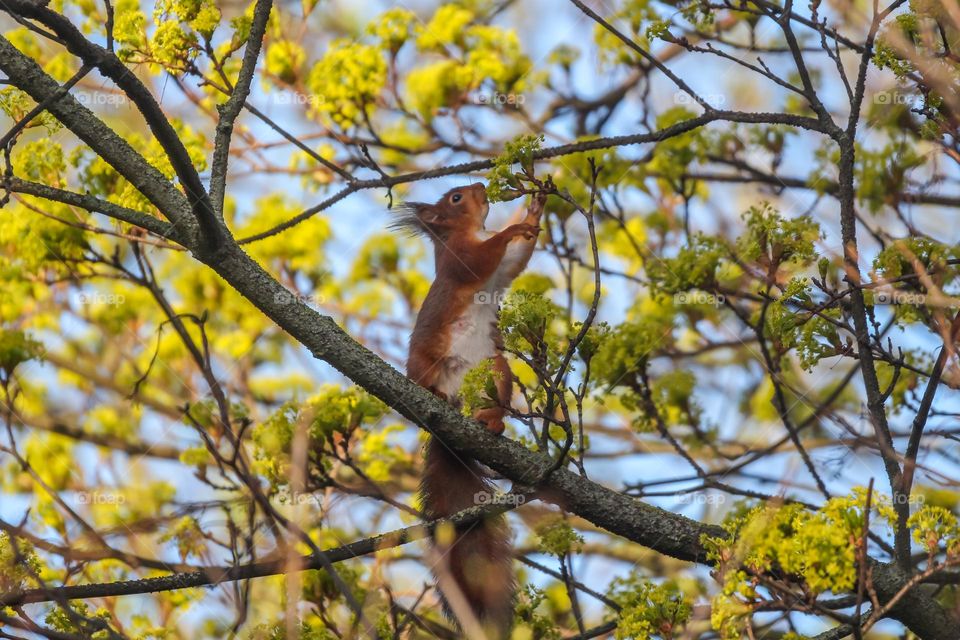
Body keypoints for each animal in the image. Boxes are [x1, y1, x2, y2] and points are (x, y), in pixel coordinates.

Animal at [391, 182, 545, 638]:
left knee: (493, 398)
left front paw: (534, 212)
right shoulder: (460, 260)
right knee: (424, 378)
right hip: (425, 363)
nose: (480, 186)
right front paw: (512, 227)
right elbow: (483, 257)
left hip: (496, 371)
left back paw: (491, 422)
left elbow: (513, 261)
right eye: (455, 198)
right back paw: (435, 396)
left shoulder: (502, 272)